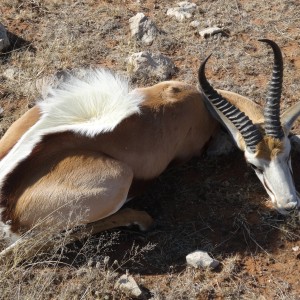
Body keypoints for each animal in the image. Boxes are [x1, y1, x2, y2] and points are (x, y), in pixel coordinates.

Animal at [0, 39, 298, 255]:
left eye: (288, 156)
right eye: (253, 165)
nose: (289, 203)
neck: (190, 101)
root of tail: (6, 202)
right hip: (119, 177)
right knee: (24, 248)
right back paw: (141, 219)